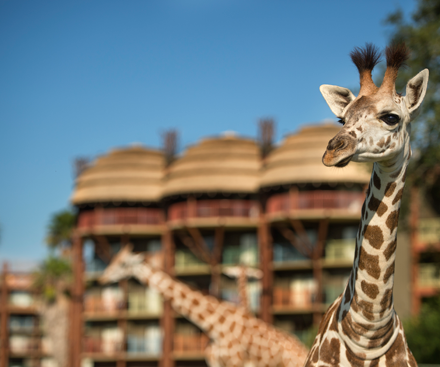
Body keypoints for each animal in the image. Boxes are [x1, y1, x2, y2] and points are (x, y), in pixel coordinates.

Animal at [99, 244, 310, 367]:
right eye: (114, 260)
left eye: (123, 263)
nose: (103, 278)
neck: (216, 326)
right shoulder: (215, 362)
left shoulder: (236, 361)